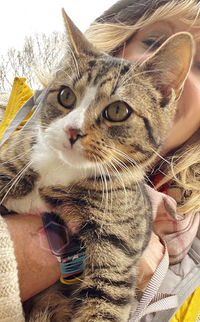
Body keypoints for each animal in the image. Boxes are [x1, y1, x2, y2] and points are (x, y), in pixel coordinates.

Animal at [0, 10, 194, 322]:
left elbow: (105, 301)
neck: (62, 170)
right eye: (65, 95)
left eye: (117, 110)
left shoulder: (117, 250)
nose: (72, 130)